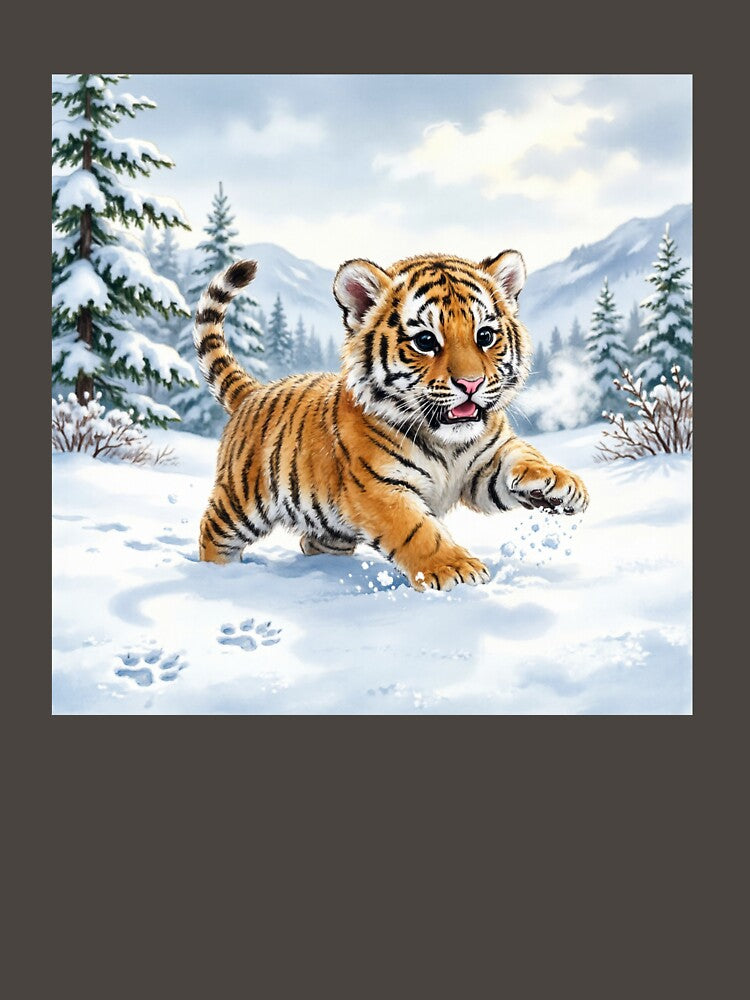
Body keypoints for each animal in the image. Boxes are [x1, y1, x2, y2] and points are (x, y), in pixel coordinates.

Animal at [193, 251, 589, 592]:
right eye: (425, 341)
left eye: (485, 336)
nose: (471, 384)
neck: (446, 442)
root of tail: (253, 391)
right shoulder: (379, 488)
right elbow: (418, 529)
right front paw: (455, 569)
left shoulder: (484, 464)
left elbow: (522, 455)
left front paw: (559, 484)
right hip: (239, 502)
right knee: (211, 532)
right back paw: (218, 576)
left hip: (329, 527)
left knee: (311, 542)